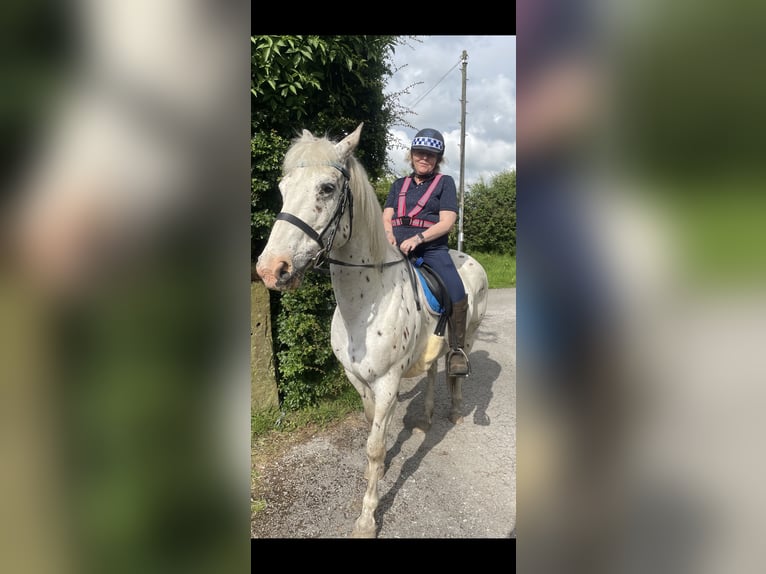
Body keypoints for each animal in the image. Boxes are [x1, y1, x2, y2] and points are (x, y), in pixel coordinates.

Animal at [255, 122, 488, 540]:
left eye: (326, 188)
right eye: (283, 187)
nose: (271, 269)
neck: (363, 308)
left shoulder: (387, 382)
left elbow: (376, 445)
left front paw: (367, 518)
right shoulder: (357, 379)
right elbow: (369, 434)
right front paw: (371, 478)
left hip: (469, 334)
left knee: (454, 370)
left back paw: (456, 411)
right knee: (432, 372)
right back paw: (426, 417)